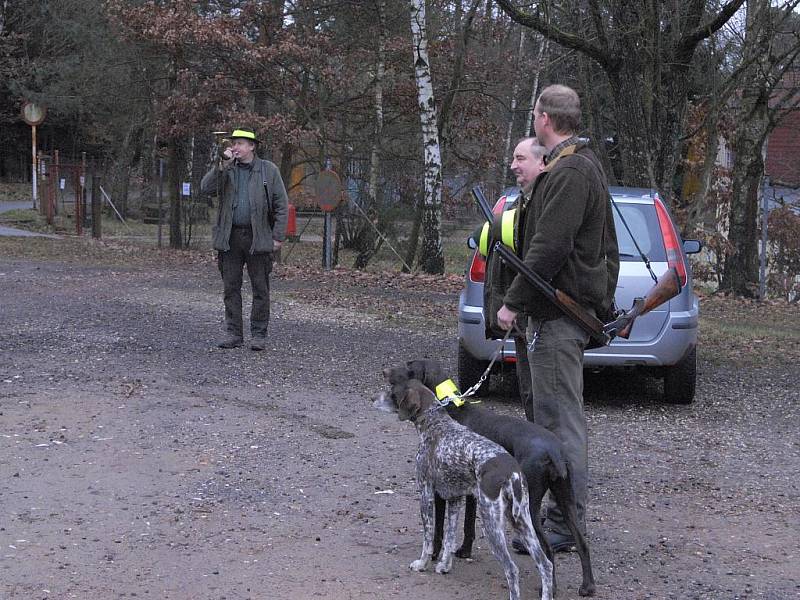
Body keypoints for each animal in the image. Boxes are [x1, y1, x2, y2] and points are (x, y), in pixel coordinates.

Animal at [374, 376, 552, 600]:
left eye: (392, 392)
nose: (373, 398)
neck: (436, 424)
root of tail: (511, 472)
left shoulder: (426, 493)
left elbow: (429, 538)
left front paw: (422, 564)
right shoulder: (454, 499)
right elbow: (450, 537)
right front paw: (444, 566)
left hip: (491, 522)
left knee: (512, 569)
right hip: (522, 520)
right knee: (545, 564)